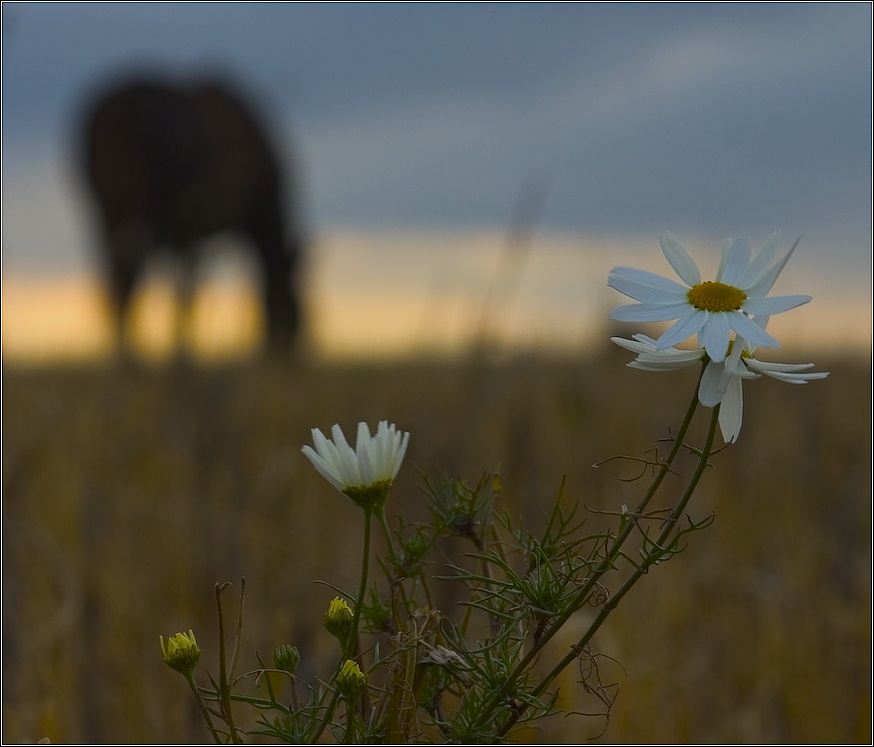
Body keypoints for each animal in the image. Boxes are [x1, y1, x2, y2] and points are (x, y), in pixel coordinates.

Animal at [81, 76, 304, 356]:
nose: (288, 354)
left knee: (113, 279)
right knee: (125, 279)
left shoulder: (186, 235)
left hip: (107, 214)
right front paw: (183, 349)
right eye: (293, 313)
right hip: (139, 212)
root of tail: (96, 119)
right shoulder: (187, 231)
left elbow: (186, 289)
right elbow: (188, 292)